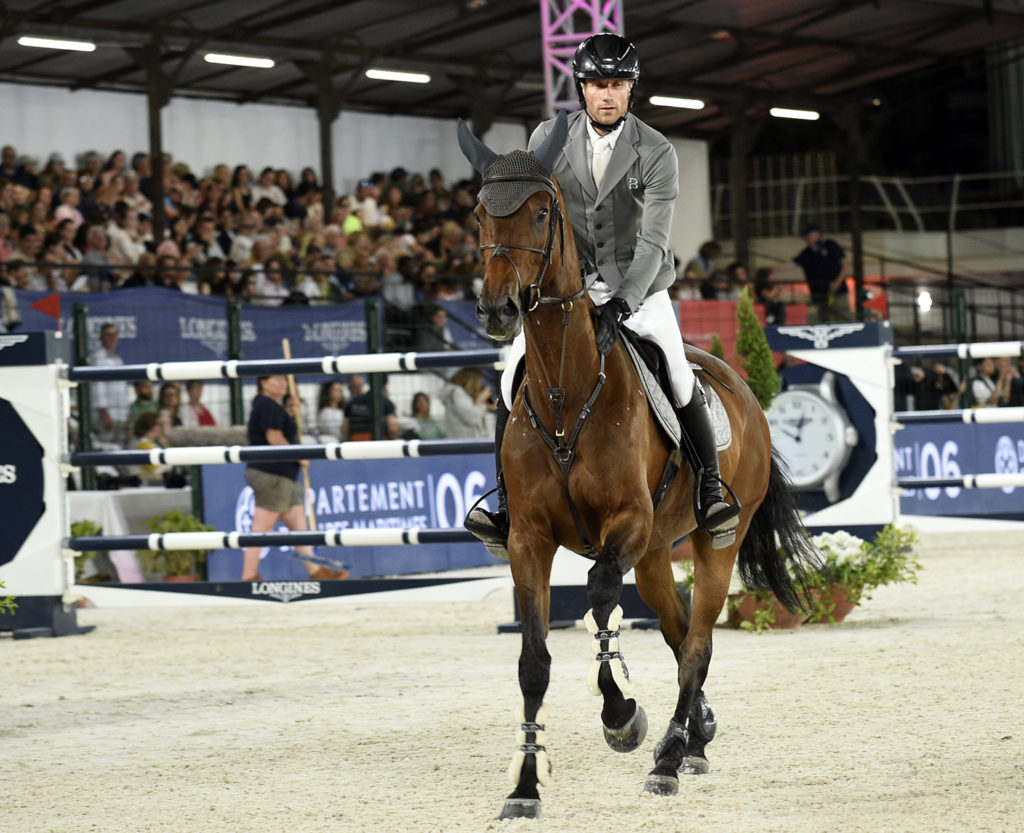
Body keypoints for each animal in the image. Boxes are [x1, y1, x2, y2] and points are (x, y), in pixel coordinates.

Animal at [460, 112, 819, 819]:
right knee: (680, 635)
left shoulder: (623, 524)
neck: (567, 393)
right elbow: (533, 661)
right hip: (655, 553)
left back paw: (670, 760)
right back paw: (696, 735)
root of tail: (742, 388)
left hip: (711, 541)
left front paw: (622, 716)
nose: (498, 309)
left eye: (541, 212)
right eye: (481, 213)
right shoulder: (529, 539)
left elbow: (601, 596)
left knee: (698, 641)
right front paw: (524, 787)